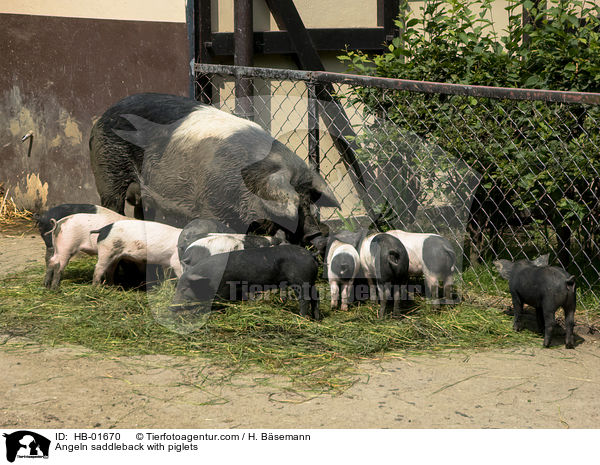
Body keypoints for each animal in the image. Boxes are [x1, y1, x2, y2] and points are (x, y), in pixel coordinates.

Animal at [88, 91, 338, 243]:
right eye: (294, 205)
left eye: (310, 200)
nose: (316, 232)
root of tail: (103, 116)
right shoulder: (209, 200)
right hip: (107, 169)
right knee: (112, 203)